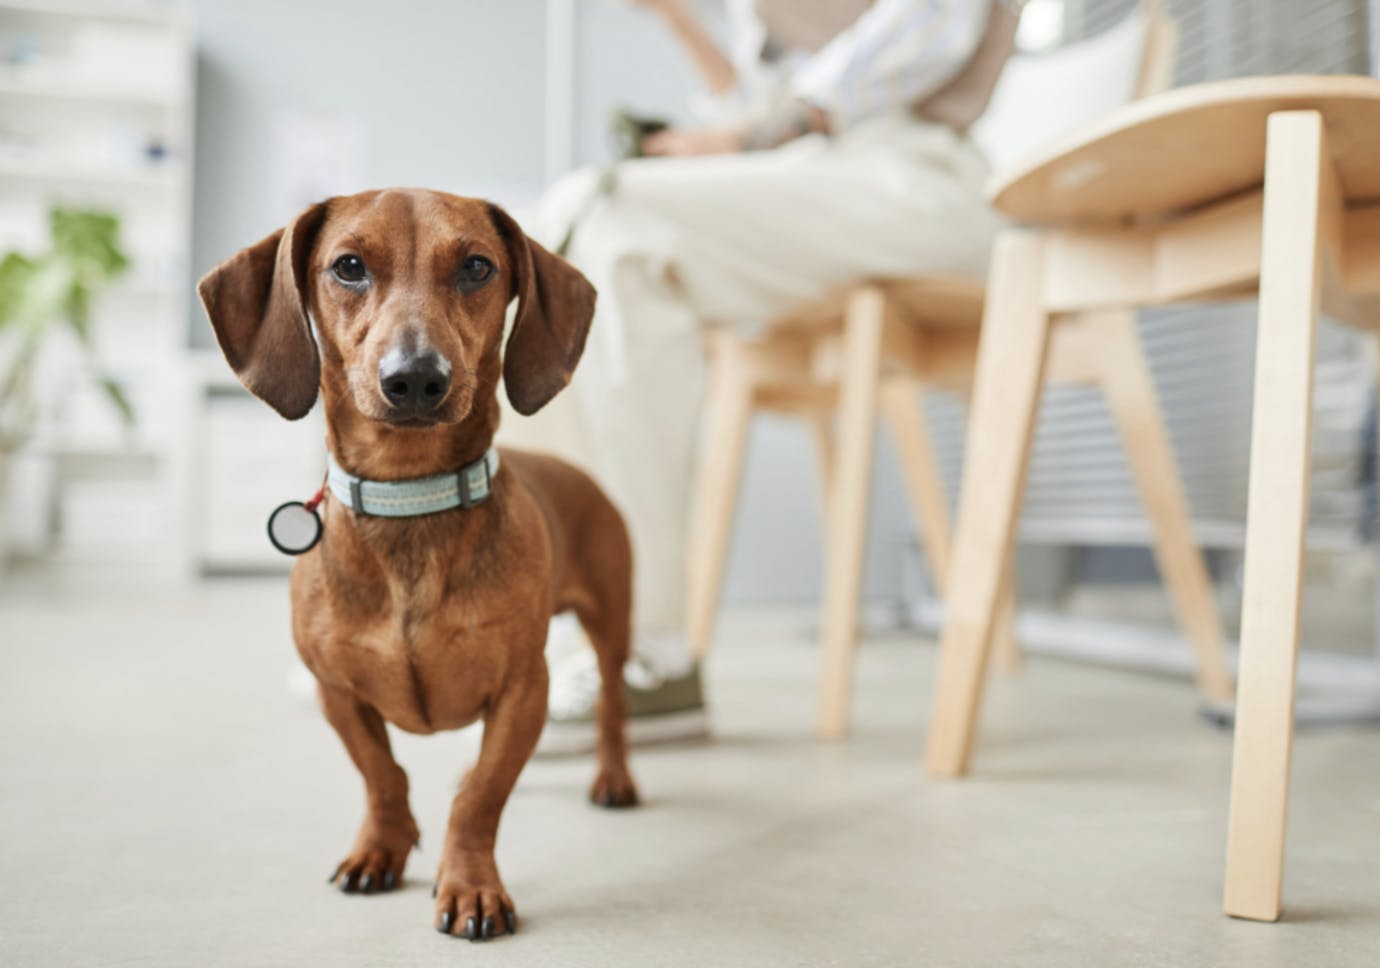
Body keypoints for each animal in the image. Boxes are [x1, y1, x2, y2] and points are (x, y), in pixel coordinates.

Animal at [197, 186, 637, 939]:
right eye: (347, 266)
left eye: (477, 267)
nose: (415, 379)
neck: (411, 497)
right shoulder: (337, 692)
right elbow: (384, 776)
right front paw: (381, 849)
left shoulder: (525, 688)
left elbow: (480, 797)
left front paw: (470, 887)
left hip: (611, 623)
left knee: (611, 702)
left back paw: (614, 777)